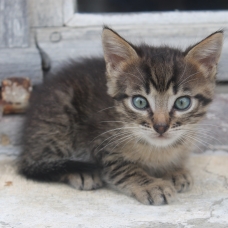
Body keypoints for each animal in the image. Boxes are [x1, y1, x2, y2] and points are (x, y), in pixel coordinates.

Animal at [18, 26, 224, 205]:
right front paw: (152, 185)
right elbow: (125, 169)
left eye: (182, 103)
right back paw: (80, 172)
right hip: (60, 118)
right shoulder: (102, 145)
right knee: (37, 162)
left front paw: (174, 170)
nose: (161, 127)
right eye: (139, 102)